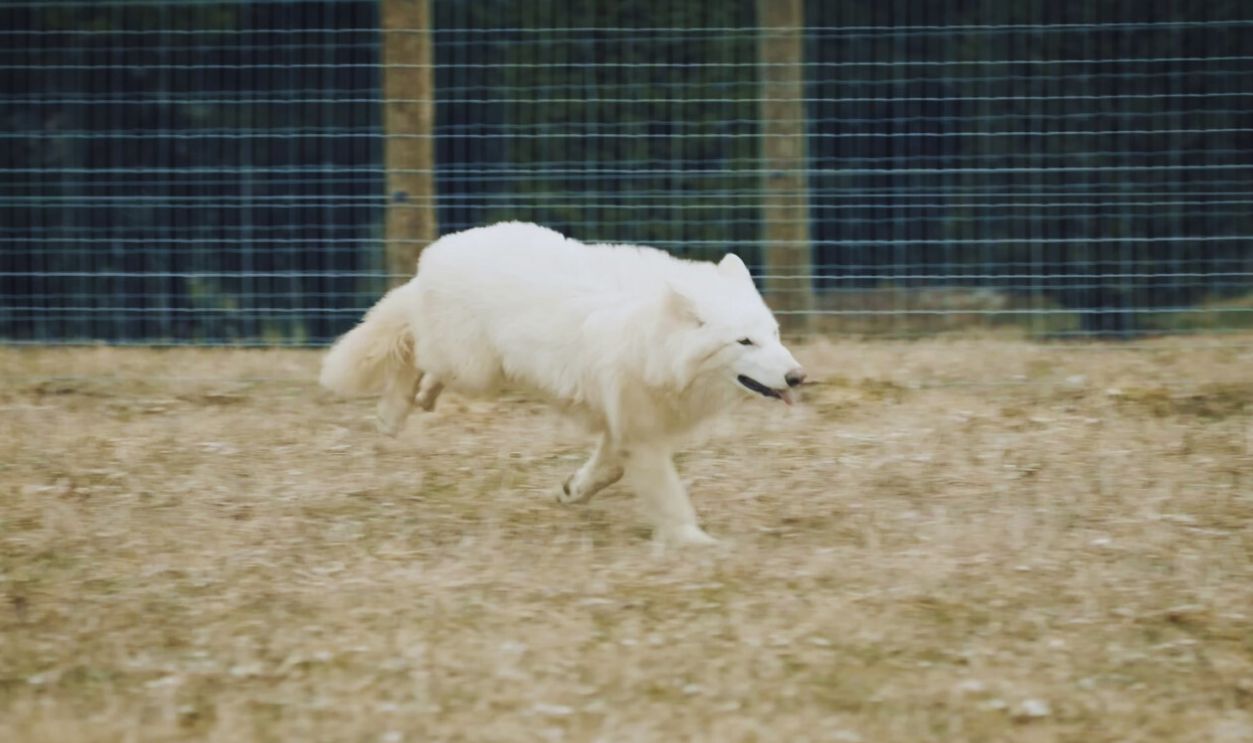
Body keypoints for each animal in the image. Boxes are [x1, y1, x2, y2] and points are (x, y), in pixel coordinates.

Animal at [319, 222, 805, 545]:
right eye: (744, 341)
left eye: (774, 335)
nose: (798, 377)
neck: (654, 341)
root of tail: (438, 253)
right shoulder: (641, 436)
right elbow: (670, 498)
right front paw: (696, 545)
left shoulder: (627, 428)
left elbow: (606, 471)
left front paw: (571, 491)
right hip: (472, 369)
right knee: (411, 350)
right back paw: (392, 412)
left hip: (476, 371)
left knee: (423, 362)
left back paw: (421, 400)